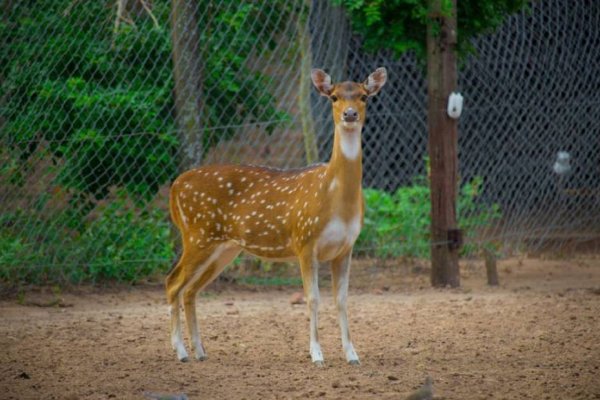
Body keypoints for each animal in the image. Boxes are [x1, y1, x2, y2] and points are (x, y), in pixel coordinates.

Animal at [166, 67, 386, 368]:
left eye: (364, 96)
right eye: (334, 97)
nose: (350, 114)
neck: (336, 200)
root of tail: (174, 187)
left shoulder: (346, 247)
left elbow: (342, 300)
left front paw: (352, 355)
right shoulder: (305, 240)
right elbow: (312, 299)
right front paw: (317, 355)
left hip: (224, 247)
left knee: (190, 289)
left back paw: (200, 351)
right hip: (197, 236)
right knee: (172, 283)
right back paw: (181, 351)